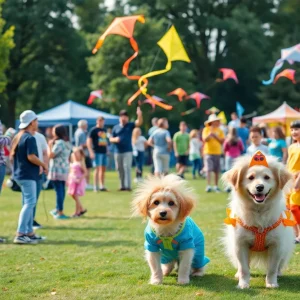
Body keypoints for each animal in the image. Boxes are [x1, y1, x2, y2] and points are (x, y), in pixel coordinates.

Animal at [223, 154, 296, 290]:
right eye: (250, 177)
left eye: (267, 177)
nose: (259, 187)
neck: (259, 211)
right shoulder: (240, 244)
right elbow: (244, 269)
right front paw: (243, 284)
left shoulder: (276, 245)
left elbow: (272, 269)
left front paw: (271, 283)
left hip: (285, 247)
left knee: (279, 264)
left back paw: (279, 273)